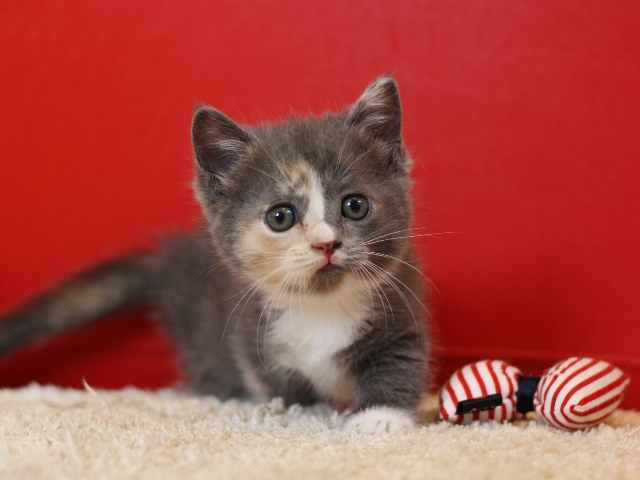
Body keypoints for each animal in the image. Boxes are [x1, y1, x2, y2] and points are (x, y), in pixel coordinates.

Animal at [1, 76, 430, 436]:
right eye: (281, 217)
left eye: (355, 206)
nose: (326, 243)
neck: (321, 307)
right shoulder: (251, 331)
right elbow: (281, 385)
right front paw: (312, 410)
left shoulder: (401, 306)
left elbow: (400, 363)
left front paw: (380, 418)